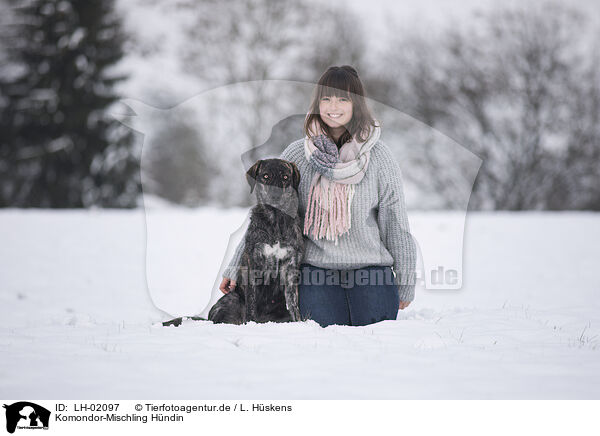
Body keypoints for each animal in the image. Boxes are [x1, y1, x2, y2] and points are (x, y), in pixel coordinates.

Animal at [207, 159, 304, 324]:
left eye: (285, 177)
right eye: (265, 176)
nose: (275, 195)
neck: (275, 220)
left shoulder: (290, 266)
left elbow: (293, 303)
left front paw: (298, 322)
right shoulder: (253, 264)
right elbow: (251, 301)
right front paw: (251, 322)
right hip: (231, 299)